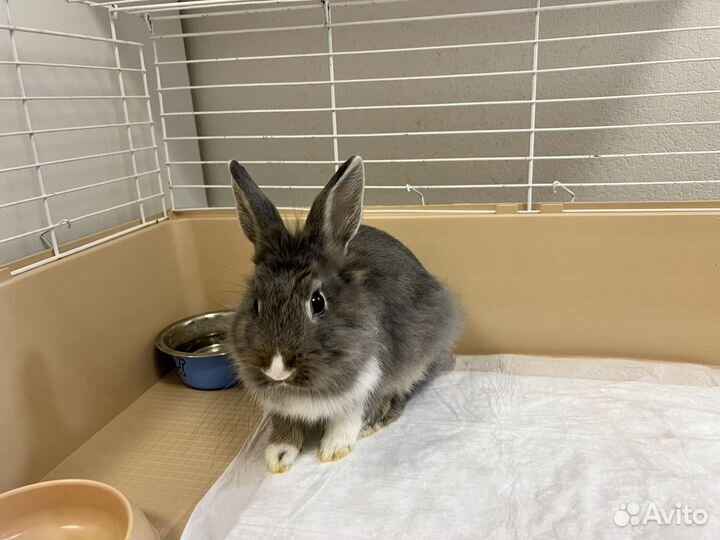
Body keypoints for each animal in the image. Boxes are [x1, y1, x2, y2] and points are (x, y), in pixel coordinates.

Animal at [228, 155, 462, 473]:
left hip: (421, 350)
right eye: (256, 303)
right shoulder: (280, 405)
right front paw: (278, 455)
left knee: (406, 389)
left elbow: (348, 417)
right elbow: (285, 424)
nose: (278, 369)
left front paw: (334, 448)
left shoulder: (367, 382)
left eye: (317, 302)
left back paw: (379, 418)